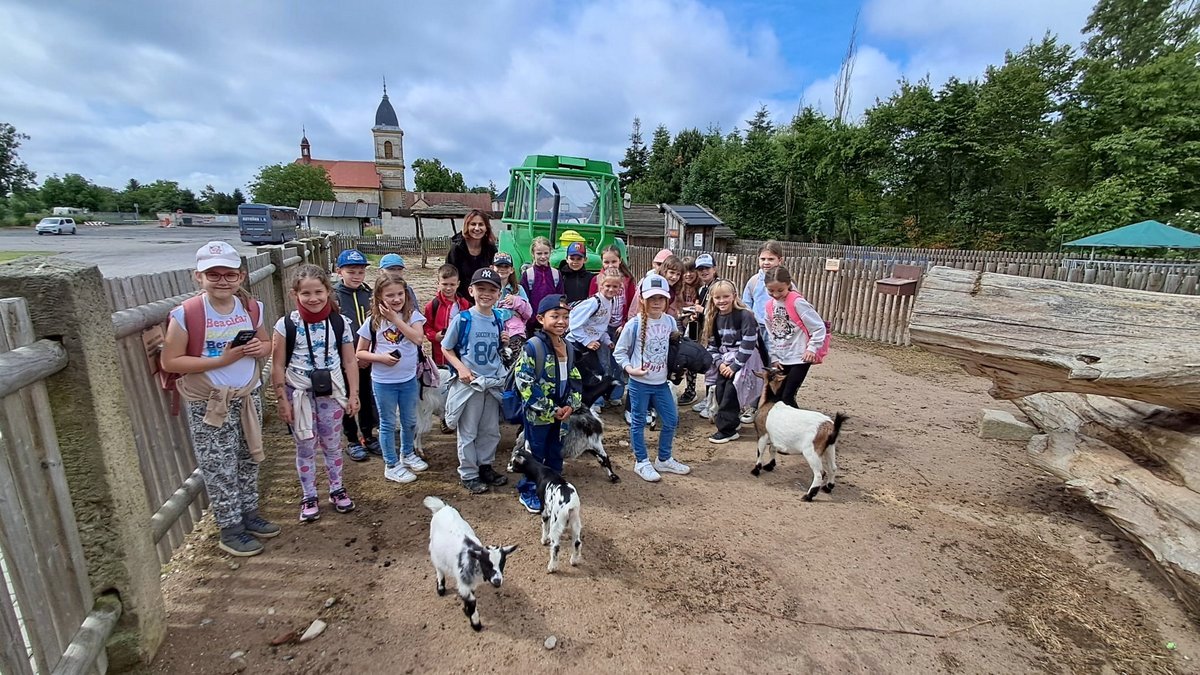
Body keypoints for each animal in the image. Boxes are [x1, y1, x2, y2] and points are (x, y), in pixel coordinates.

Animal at [423, 496, 518, 631]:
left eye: (502, 563)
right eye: (486, 564)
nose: (497, 581)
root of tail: (442, 507)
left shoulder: (469, 584)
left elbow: (469, 596)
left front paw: (467, 611)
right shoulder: (463, 582)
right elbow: (472, 601)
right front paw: (476, 624)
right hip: (434, 549)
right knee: (439, 568)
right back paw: (440, 588)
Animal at [751, 368, 848, 501]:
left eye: (770, 372)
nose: (758, 369)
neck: (769, 401)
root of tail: (830, 427)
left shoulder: (762, 433)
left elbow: (760, 452)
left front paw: (756, 470)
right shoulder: (775, 436)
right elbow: (772, 449)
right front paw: (770, 465)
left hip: (811, 451)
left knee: (820, 473)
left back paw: (808, 496)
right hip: (829, 448)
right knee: (833, 467)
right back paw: (828, 488)